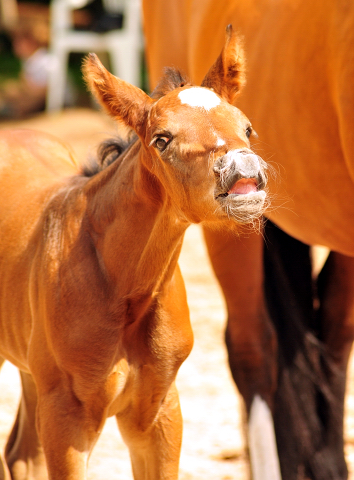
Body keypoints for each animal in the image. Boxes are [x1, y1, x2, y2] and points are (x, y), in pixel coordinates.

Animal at [0, 28, 266, 478]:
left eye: (247, 129)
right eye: (162, 139)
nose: (245, 174)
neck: (124, 290)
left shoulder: (158, 412)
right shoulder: (67, 417)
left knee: (21, 455)